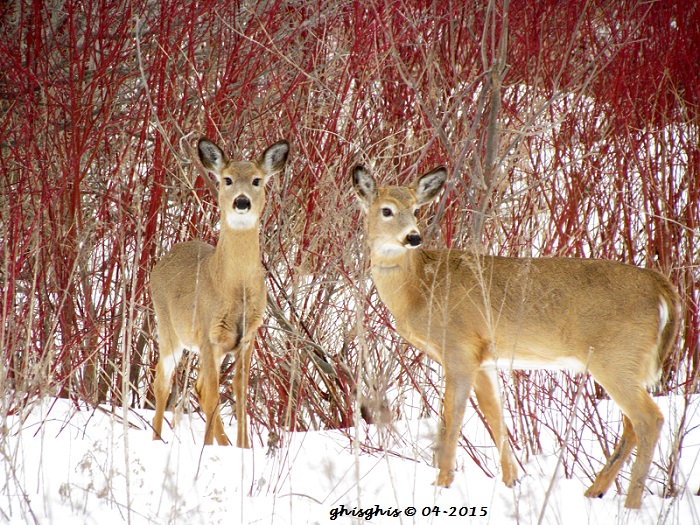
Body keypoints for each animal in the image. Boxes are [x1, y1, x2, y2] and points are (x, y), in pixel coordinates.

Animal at [149, 136, 288, 446]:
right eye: (227, 179)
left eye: (257, 180)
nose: (242, 201)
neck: (234, 287)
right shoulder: (207, 332)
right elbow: (214, 394)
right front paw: (222, 447)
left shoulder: (247, 336)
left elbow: (239, 392)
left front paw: (243, 447)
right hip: (169, 328)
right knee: (163, 380)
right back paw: (156, 439)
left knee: (198, 386)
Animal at [352, 164, 680, 508]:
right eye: (387, 210)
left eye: (416, 209)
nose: (413, 236)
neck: (419, 289)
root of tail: (661, 286)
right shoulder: (483, 359)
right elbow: (496, 419)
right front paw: (513, 482)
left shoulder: (458, 347)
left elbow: (452, 419)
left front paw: (441, 483)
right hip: (628, 363)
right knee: (632, 424)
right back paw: (595, 491)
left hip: (615, 357)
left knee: (649, 419)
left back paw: (631, 503)